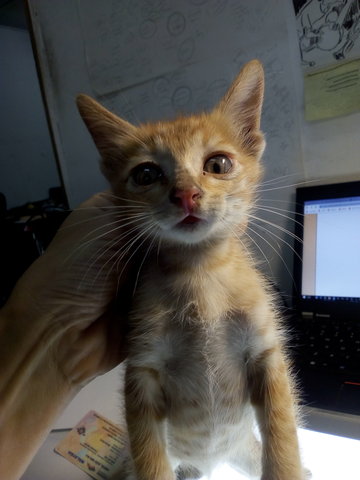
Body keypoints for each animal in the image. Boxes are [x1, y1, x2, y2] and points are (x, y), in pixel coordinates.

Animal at [77, 60, 306, 480]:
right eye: (146, 174)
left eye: (218, 164)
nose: (186, 194)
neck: (201, 273)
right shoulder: (143, 370)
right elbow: (149, 456)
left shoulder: (265, 354)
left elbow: (283, 438)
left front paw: (286, 466)